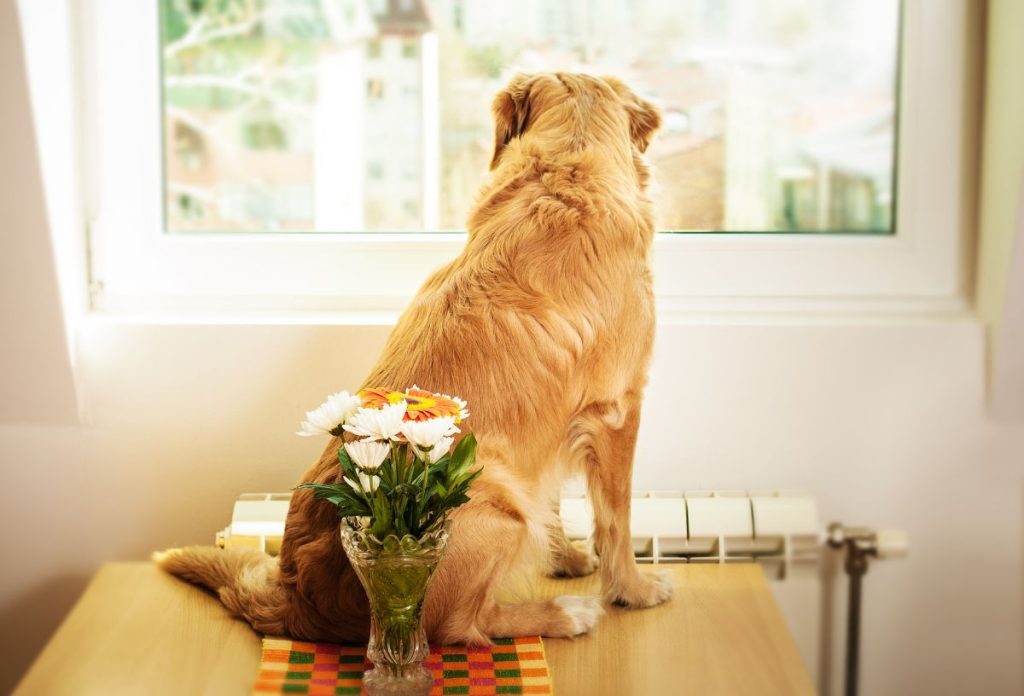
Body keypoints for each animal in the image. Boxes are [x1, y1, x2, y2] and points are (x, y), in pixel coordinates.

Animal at [157, 73, 671, 642]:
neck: (565, 170)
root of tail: (296, 599)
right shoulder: (618, 408)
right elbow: (617, 518)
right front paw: (632, 589)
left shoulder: (550, 422)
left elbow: (553, 498)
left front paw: (567, 560)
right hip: (495, 502)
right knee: (463, 624)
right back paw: (565, 614)